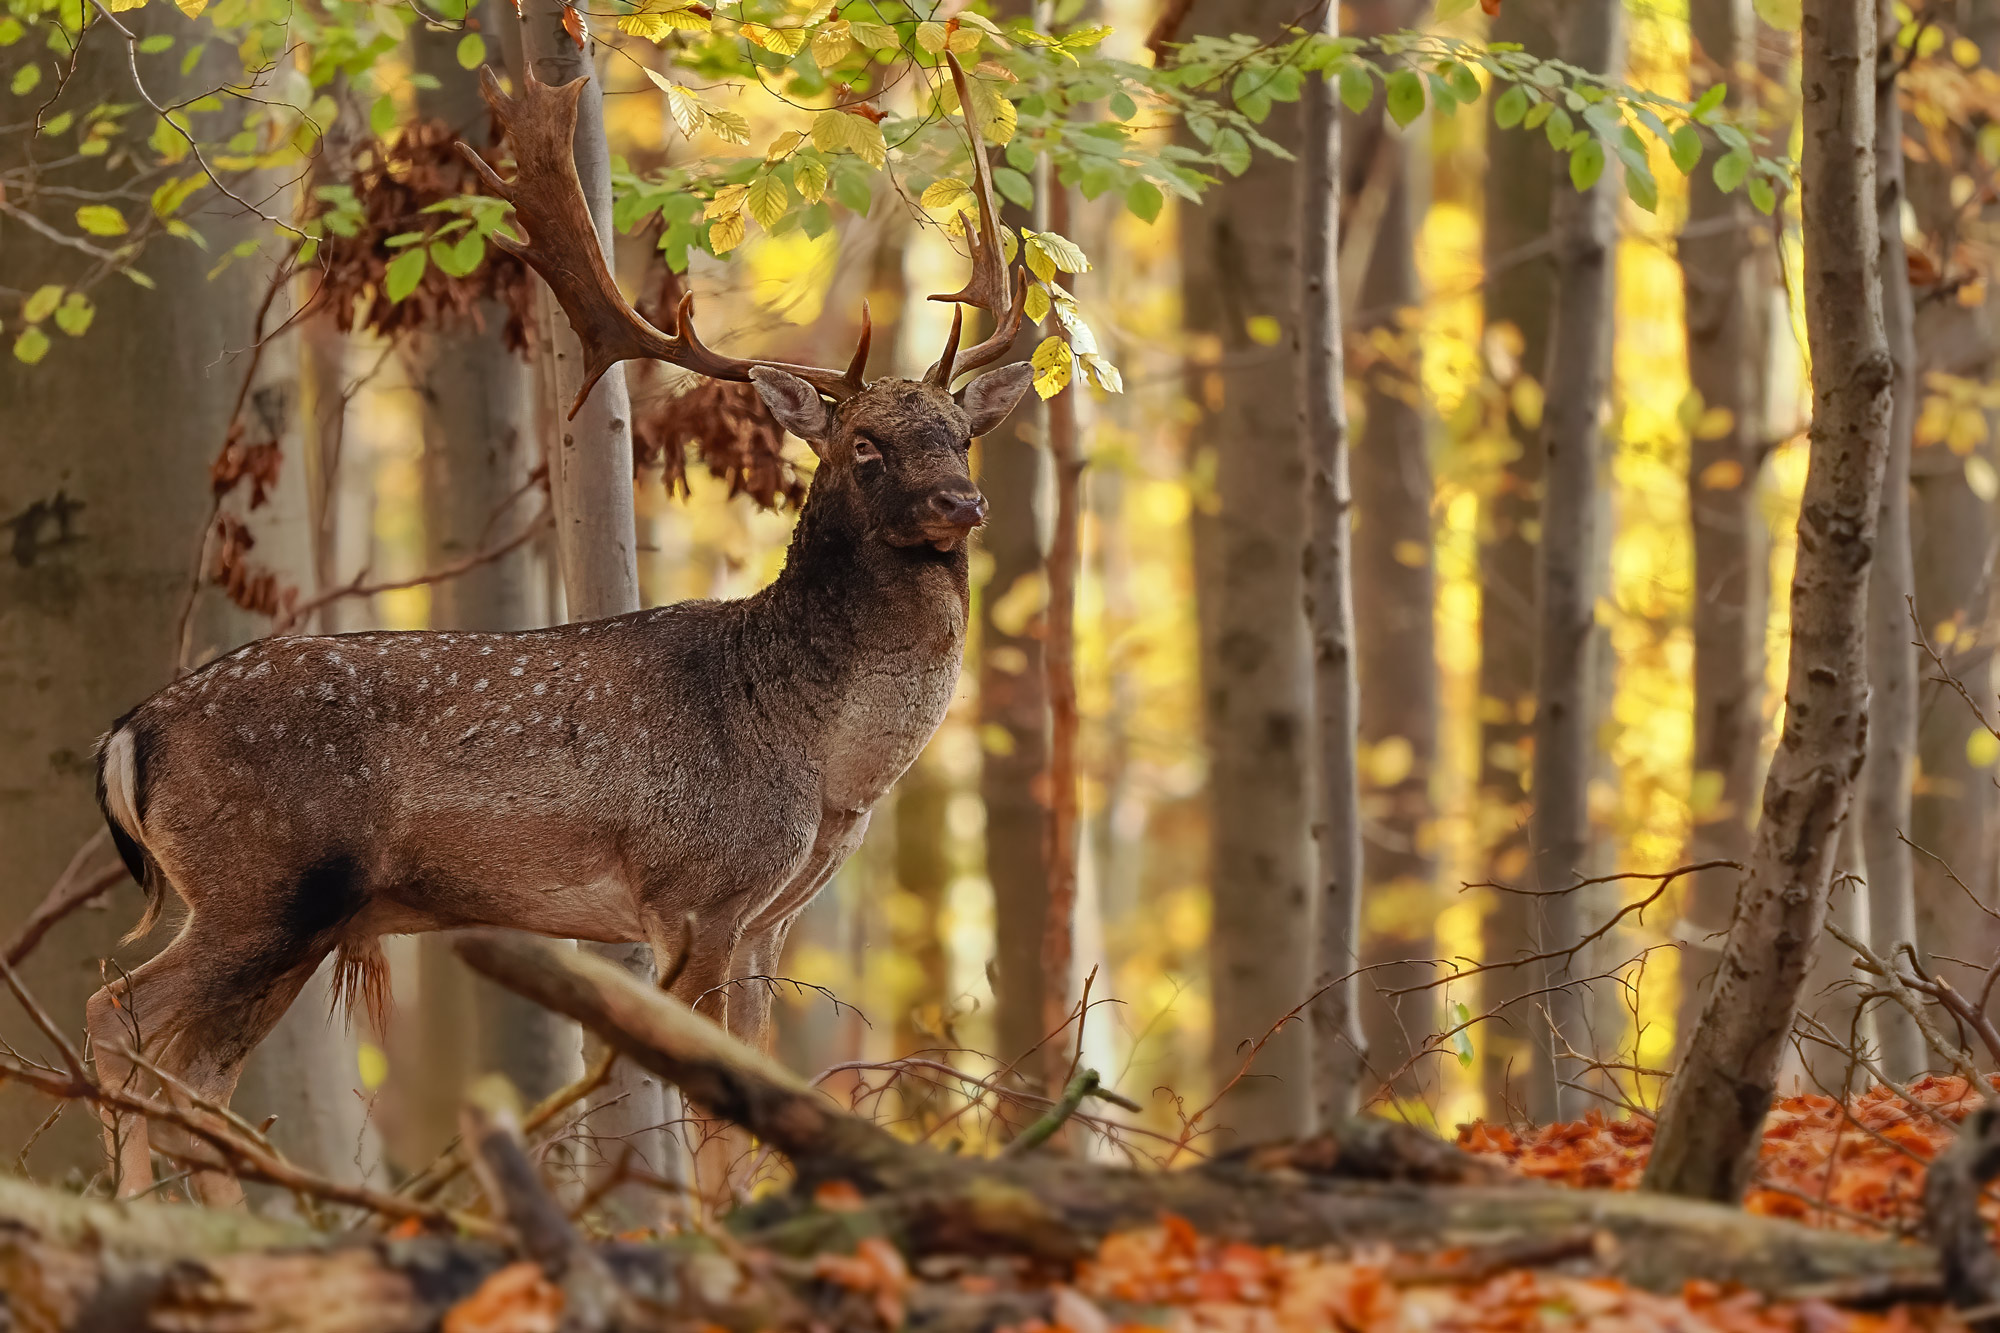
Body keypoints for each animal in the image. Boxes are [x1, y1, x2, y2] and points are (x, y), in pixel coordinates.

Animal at [84, 54, 1032, 1192]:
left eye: (960, 435)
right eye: (864, 447)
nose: (962, 504)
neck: (823, 759)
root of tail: (127, 733)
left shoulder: (770, 917)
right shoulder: (695, 888)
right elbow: (712, 1114)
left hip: (289, 913)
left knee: (195, 1073)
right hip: (259, 885)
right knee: (118, 1014)